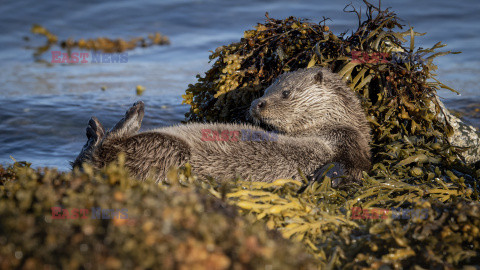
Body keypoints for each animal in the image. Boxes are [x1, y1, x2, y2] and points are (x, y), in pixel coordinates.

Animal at [71, 66, 372, 184]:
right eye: (266, 89)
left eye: (285, 93)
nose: (257, 104)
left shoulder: (347, 143)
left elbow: (348, 168)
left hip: (169, 147)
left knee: (104, 152)